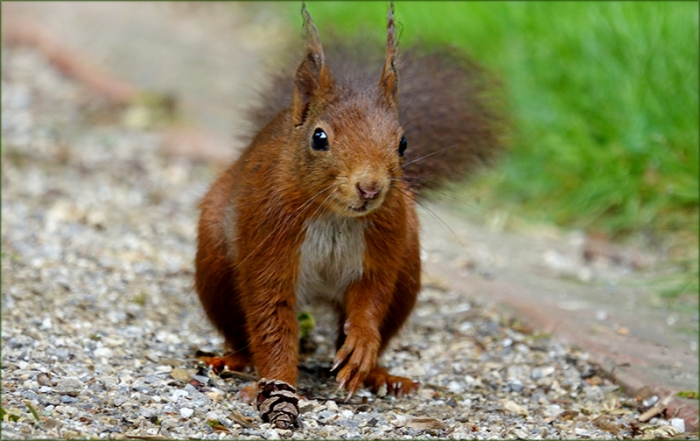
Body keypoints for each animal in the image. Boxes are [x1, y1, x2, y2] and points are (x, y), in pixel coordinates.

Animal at [194, 3, 505, 429]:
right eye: (319, 137)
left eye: (403, 143)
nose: (370, 187)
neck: (334, 216)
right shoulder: (268, 238)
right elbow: (271, 318)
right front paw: (274, 383)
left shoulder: (385, 242)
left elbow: (371, 297)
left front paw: (361, 343)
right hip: (215, 266)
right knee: (240, 329)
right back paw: (234, 360)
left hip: (408, 272)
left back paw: (381, 375)